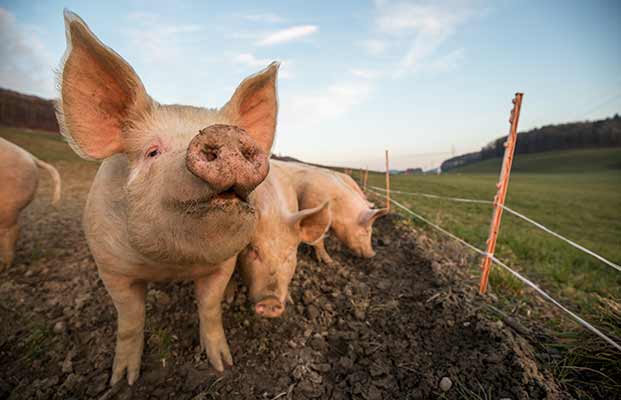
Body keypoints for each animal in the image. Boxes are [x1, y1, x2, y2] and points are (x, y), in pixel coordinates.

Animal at [57, 10, 280, 384]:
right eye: (152, 152)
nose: (225, 133)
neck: (170, 265)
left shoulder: (222, 264)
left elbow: (210, 308)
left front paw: (223, 364)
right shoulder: (110, 267)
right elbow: (130, 319)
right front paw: (123, 380)